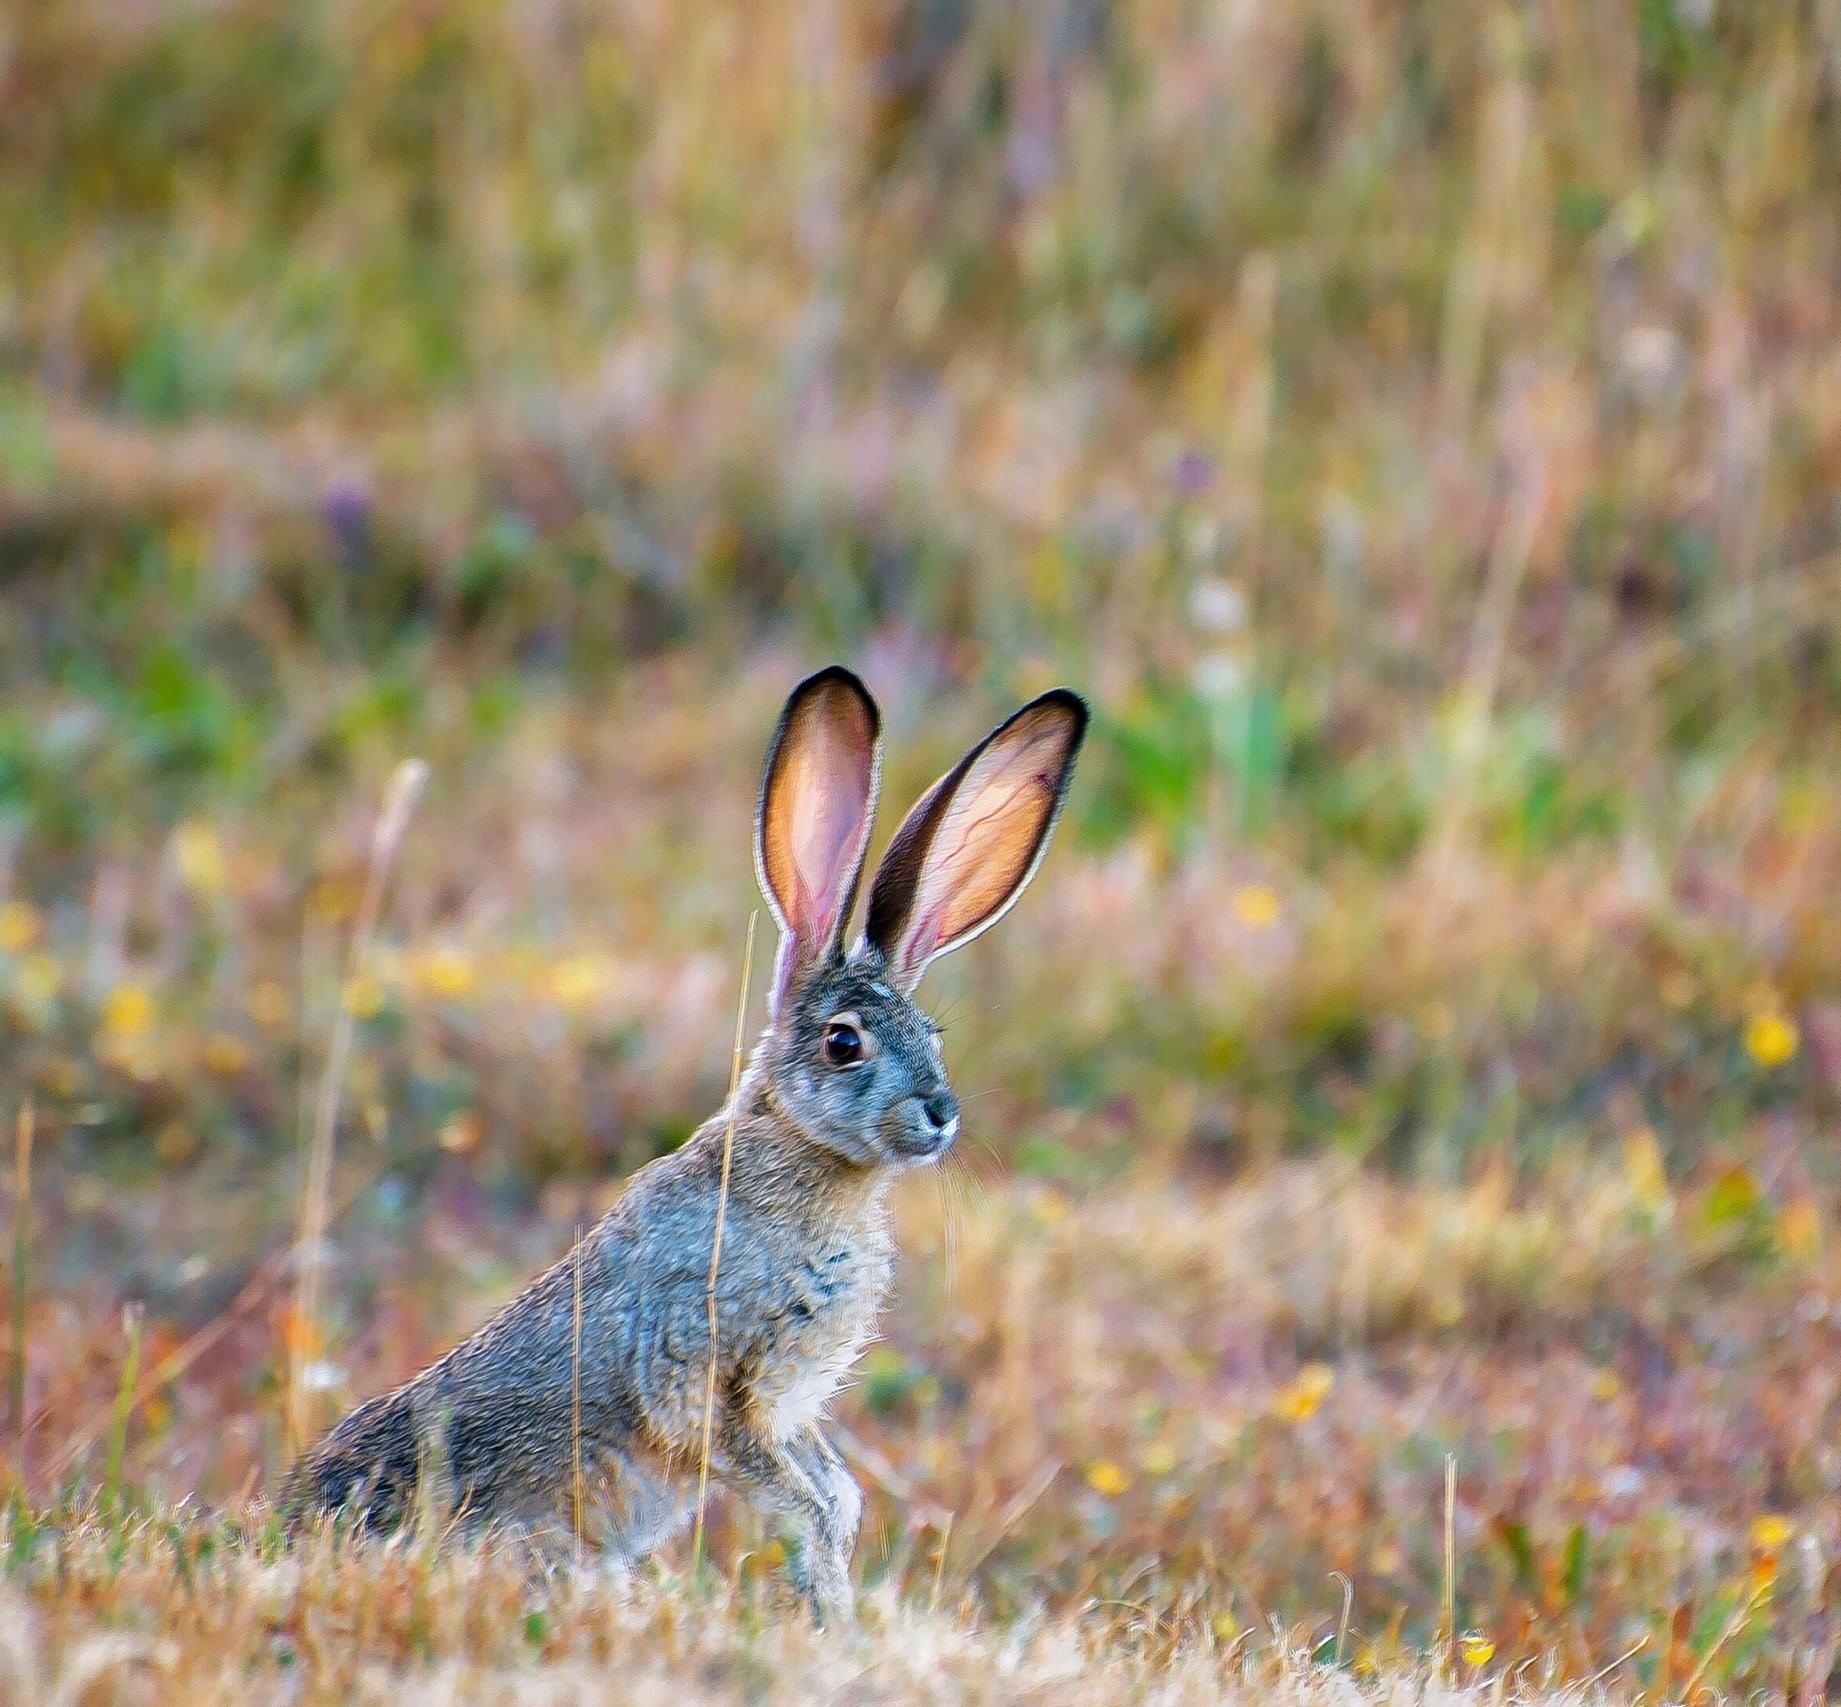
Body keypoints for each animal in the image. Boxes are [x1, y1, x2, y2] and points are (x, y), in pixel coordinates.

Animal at [287, 662, 1082, 1613]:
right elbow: (793, 1500)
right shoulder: (695, 1365)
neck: (806, 1169)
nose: (939, 1112)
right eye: (842, 1041)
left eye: (932, 1032)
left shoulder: (789, 1403)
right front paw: (826, 1616)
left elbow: (832, 1495)